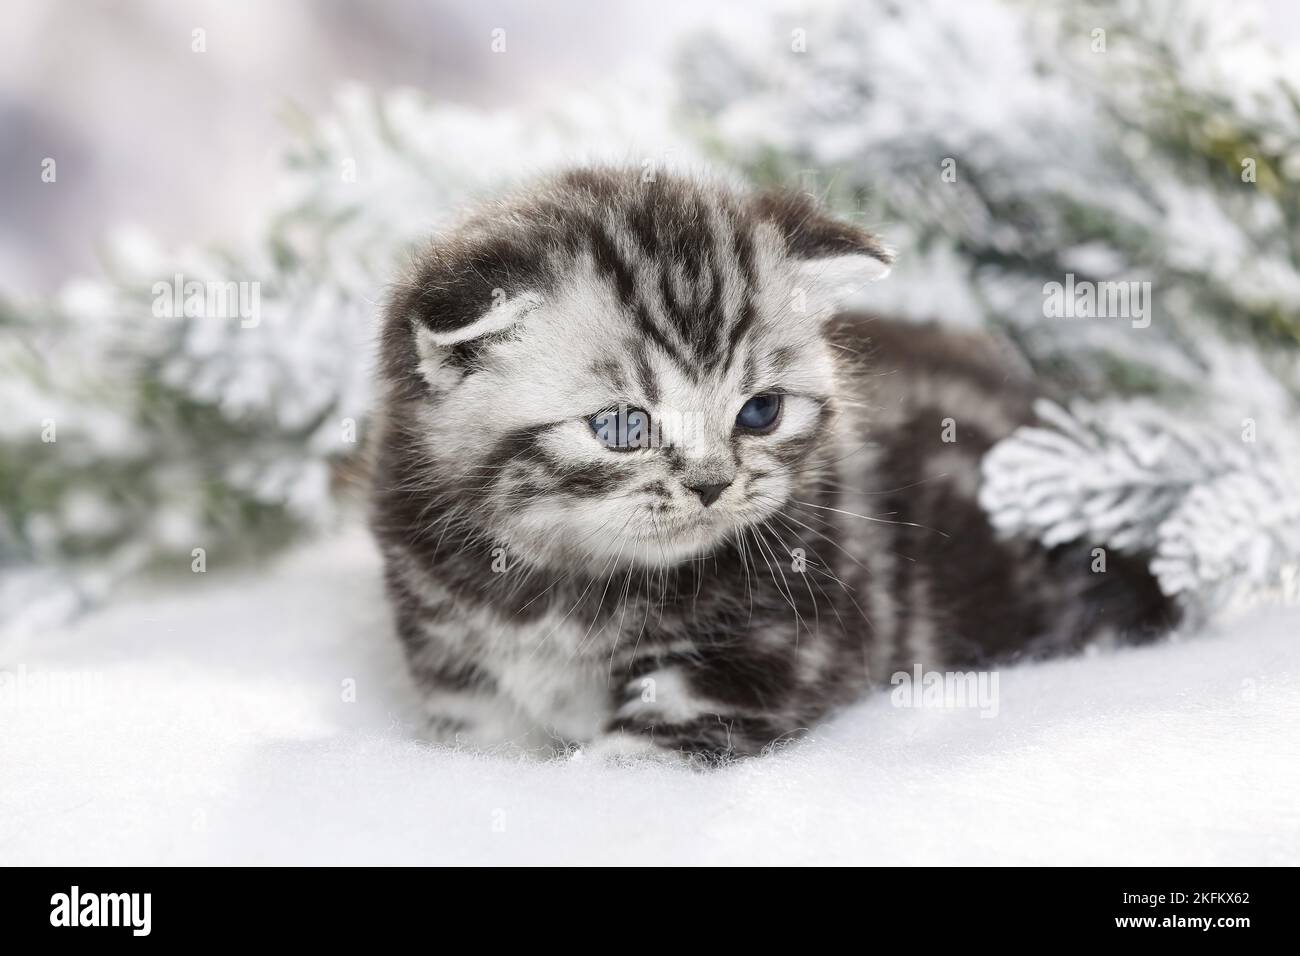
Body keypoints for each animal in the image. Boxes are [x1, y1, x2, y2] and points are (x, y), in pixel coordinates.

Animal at [369, 164, 1180, 764]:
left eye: (760, 411)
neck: (565, 586)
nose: (712, 485)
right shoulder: (460, 672)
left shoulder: (757, 663)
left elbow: (626, 762)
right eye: (623, 425)